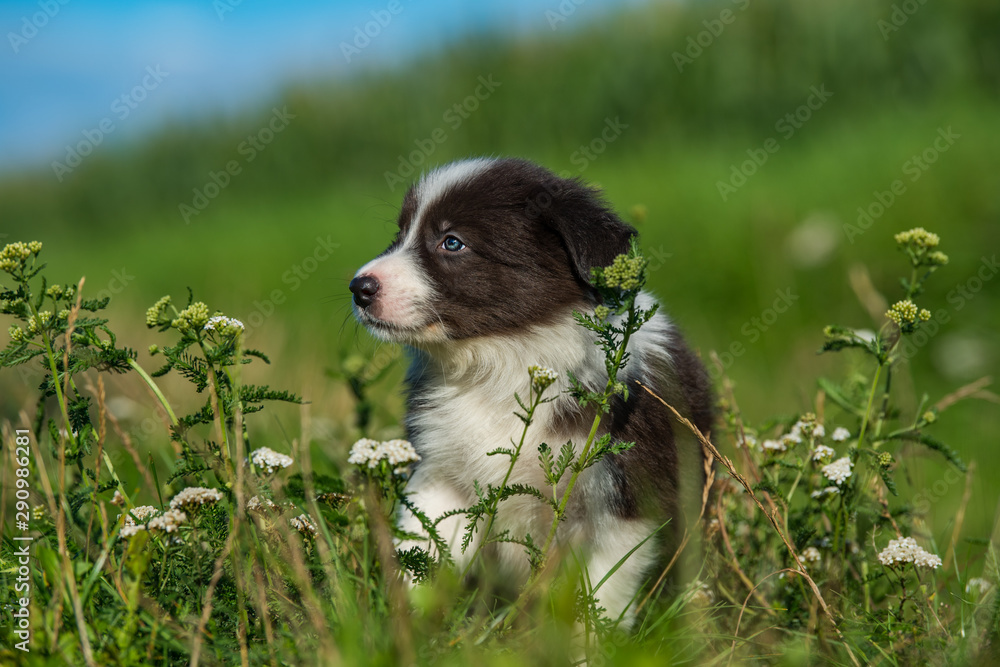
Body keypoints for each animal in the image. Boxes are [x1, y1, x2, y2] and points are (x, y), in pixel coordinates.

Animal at [348, 158, 716, 628]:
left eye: (452, 242)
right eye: (400, 234)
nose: (358, 288)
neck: (502, 364)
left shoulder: (630, 499)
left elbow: (601, 591)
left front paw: (590, 642)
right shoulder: (440, 473)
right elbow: (419, 550)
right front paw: (401, 628)